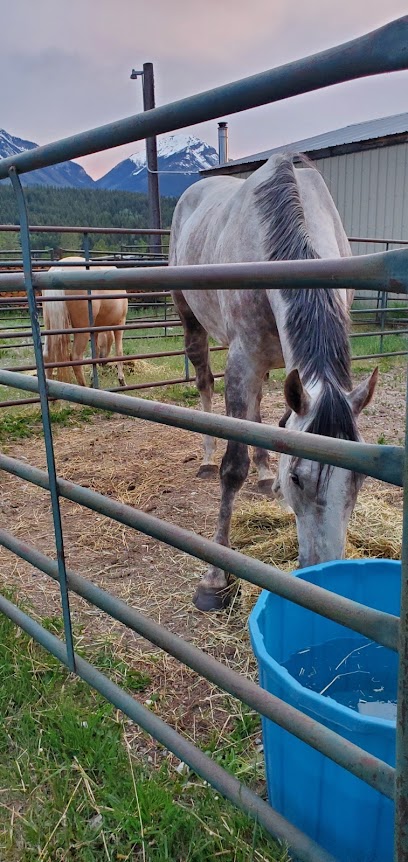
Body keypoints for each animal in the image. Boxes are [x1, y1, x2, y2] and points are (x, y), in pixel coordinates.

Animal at [42, 257, 128, 387]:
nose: (104, 362)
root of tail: (59, 270)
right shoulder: (120, 323)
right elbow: (119, 351)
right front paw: (121, 380)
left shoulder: (95, 329)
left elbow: (95, 352)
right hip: (82, 330)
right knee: (76, 358)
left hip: (50, 326)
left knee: (47, 356)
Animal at [169, 153, 378, 611]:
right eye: (299, 478)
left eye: (359, 479)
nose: (323, 580)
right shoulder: (242, 360)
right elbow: (234, 467)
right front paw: (215, 580)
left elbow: (279, 427)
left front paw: (270, 476)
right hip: (193, 324)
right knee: (205, 386)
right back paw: (206, 459)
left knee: (259, 410)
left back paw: (264, 473)